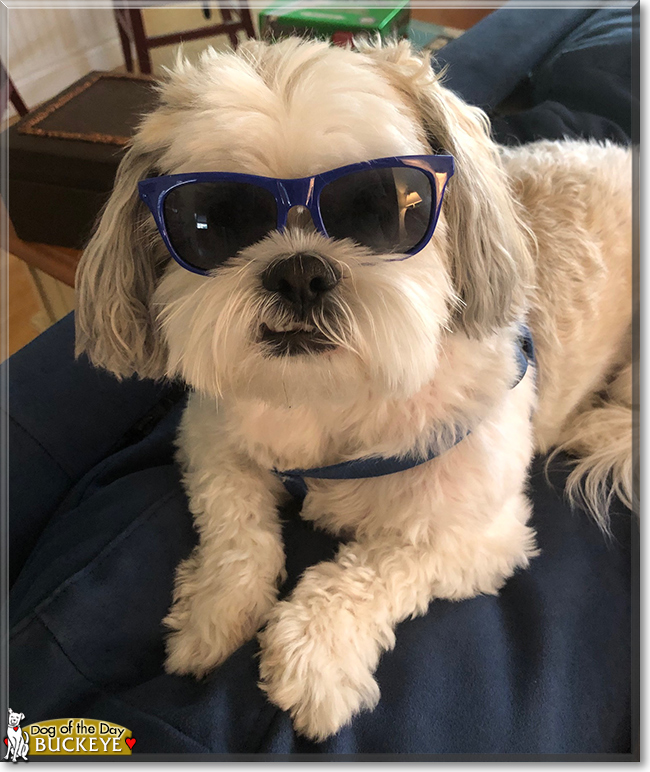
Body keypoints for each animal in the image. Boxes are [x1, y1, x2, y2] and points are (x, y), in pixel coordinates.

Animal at [73, 37, 632, 740]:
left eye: (382, 206)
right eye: (210, 219)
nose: (300, 271)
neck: (330, 398)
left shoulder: (476, 534)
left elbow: (373, 570)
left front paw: (313, 657)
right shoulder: (210, 438)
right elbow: (237, 532)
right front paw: (213, 612)